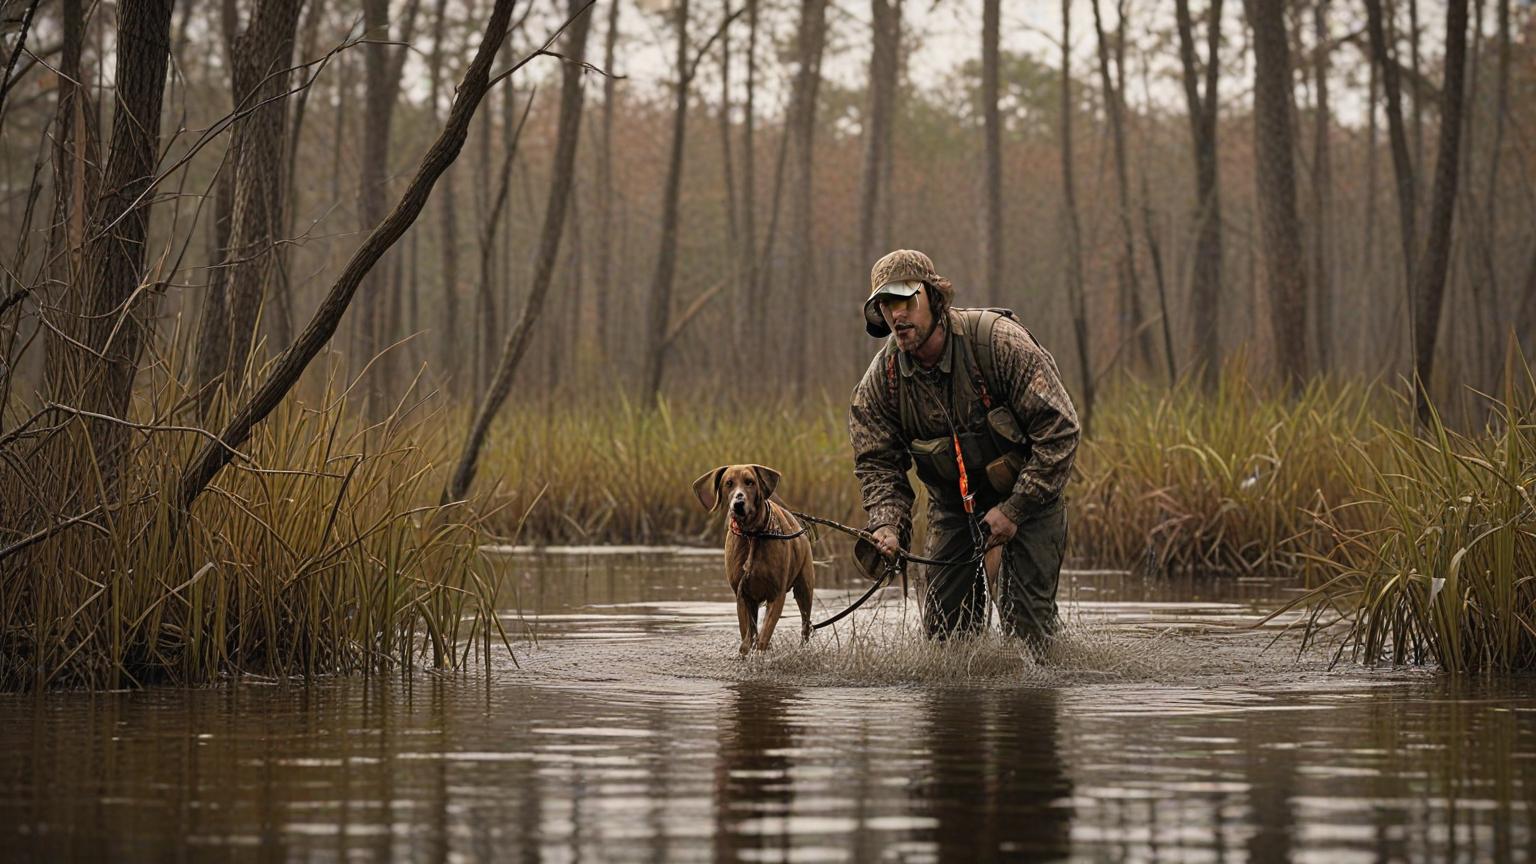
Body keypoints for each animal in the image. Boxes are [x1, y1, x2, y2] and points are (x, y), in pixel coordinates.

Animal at [694, 464, 817, 651]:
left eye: (750, 482)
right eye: (728, 483)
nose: (738, 504)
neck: (752, 534)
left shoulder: (776, 594)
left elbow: (764, 636)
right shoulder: (742, 594)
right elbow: (748, 636)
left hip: (804, 586)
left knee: (805, 623)